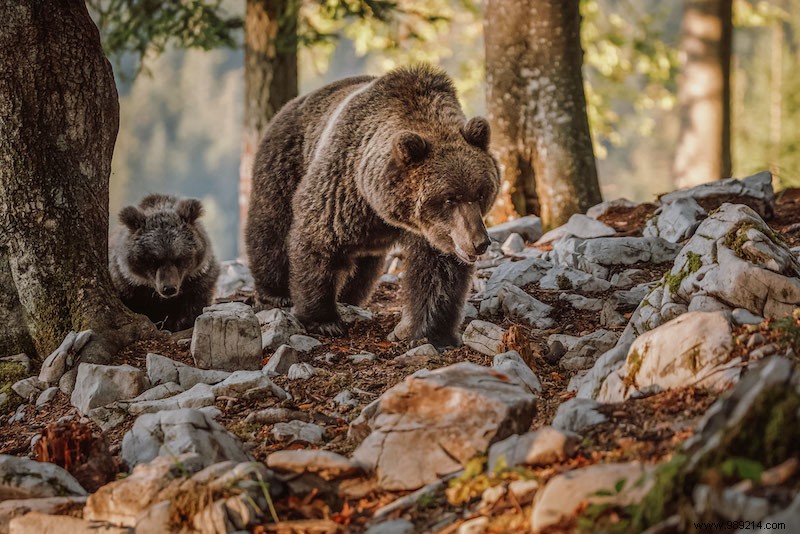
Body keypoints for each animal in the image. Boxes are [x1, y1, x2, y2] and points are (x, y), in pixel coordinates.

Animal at [109, 194, 220, 332]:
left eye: (179, 258)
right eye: (153, 260)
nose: (169, 289)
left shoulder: (199, 283)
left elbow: (193, 310)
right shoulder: (128, 286)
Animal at [245, 64, 499, 348]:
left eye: (480, 193)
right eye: (449, 198)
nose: (479, 242)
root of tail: (290, 105)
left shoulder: (433, 232)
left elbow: (438, 274)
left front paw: (434, 333)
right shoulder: (342, 186)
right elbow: (318, 238)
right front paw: (323, 320)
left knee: (363, 267)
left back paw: (348, 296)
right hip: (285, 161)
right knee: (271, 227)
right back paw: (275, 292)